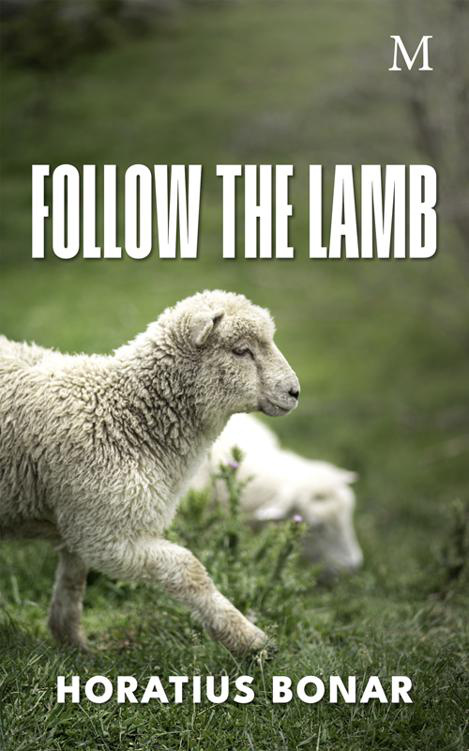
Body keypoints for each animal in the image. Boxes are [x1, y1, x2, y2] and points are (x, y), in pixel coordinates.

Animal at [0, 290, 300, 654]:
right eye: (241, 350)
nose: (294, 392)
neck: (127, 416)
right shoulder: (107, 535)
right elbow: (188, 569)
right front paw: (248, 639)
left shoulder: (84, 518)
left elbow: (73, 581)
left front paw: (73, 643)